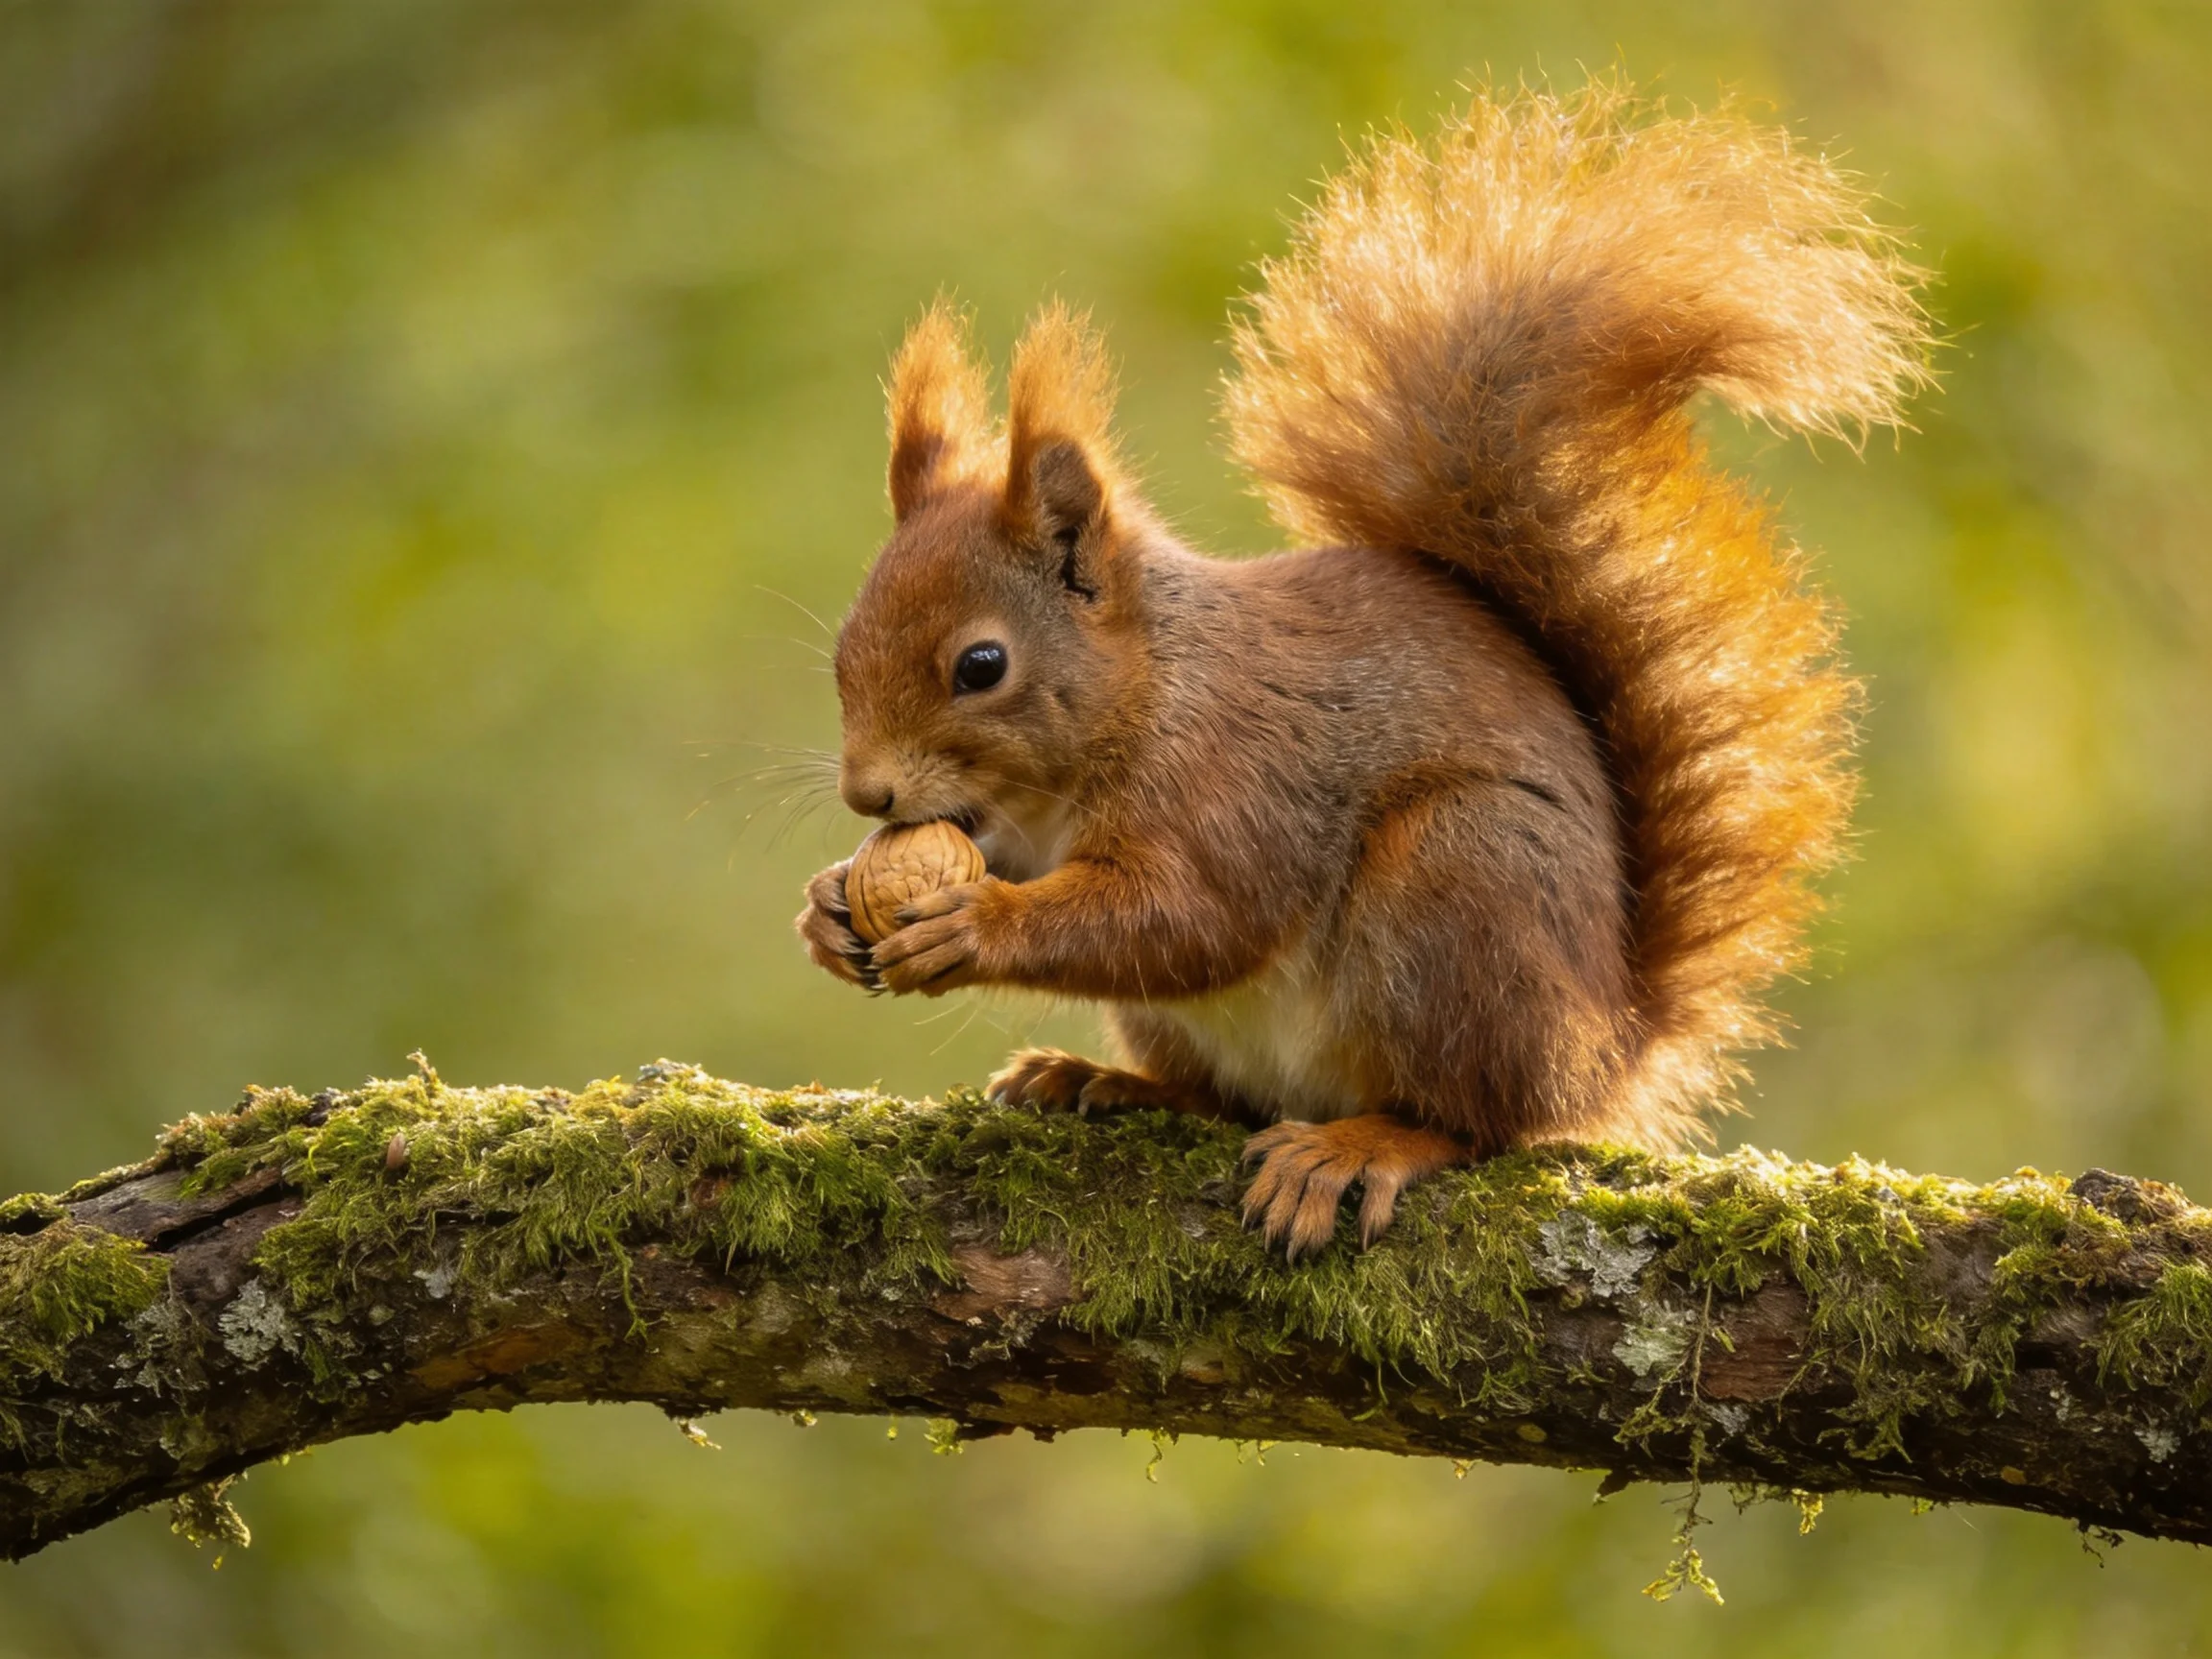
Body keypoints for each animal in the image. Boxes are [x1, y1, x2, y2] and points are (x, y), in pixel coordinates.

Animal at [795, 80, 1929, 1260]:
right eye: (842, 647)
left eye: (981, 665)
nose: (867, 794)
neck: (1144, 695)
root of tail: (1605, 1046)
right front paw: (830, 907)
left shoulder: (1236, 779)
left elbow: (1187, 918)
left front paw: (974, 926)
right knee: (1227, 1099)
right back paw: (1103, 1081)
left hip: (1459, 886)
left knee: (1475, 1120)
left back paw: (1361, 1146)